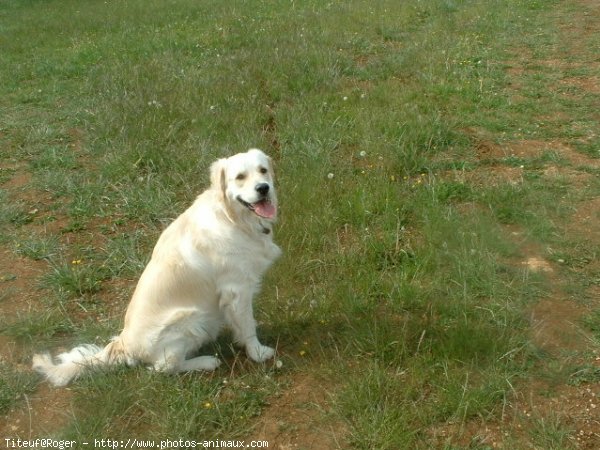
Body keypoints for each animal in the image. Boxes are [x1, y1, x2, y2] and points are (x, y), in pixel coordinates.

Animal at [34, 149, 282, 386]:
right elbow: (248, 326)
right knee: (163, 368)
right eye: (240, 177)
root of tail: (123, 344)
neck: (231, 218)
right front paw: (258, 353)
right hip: (192, 319)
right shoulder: (236, 289)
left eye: (263, 170)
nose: (263, 188)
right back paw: (205, 361)